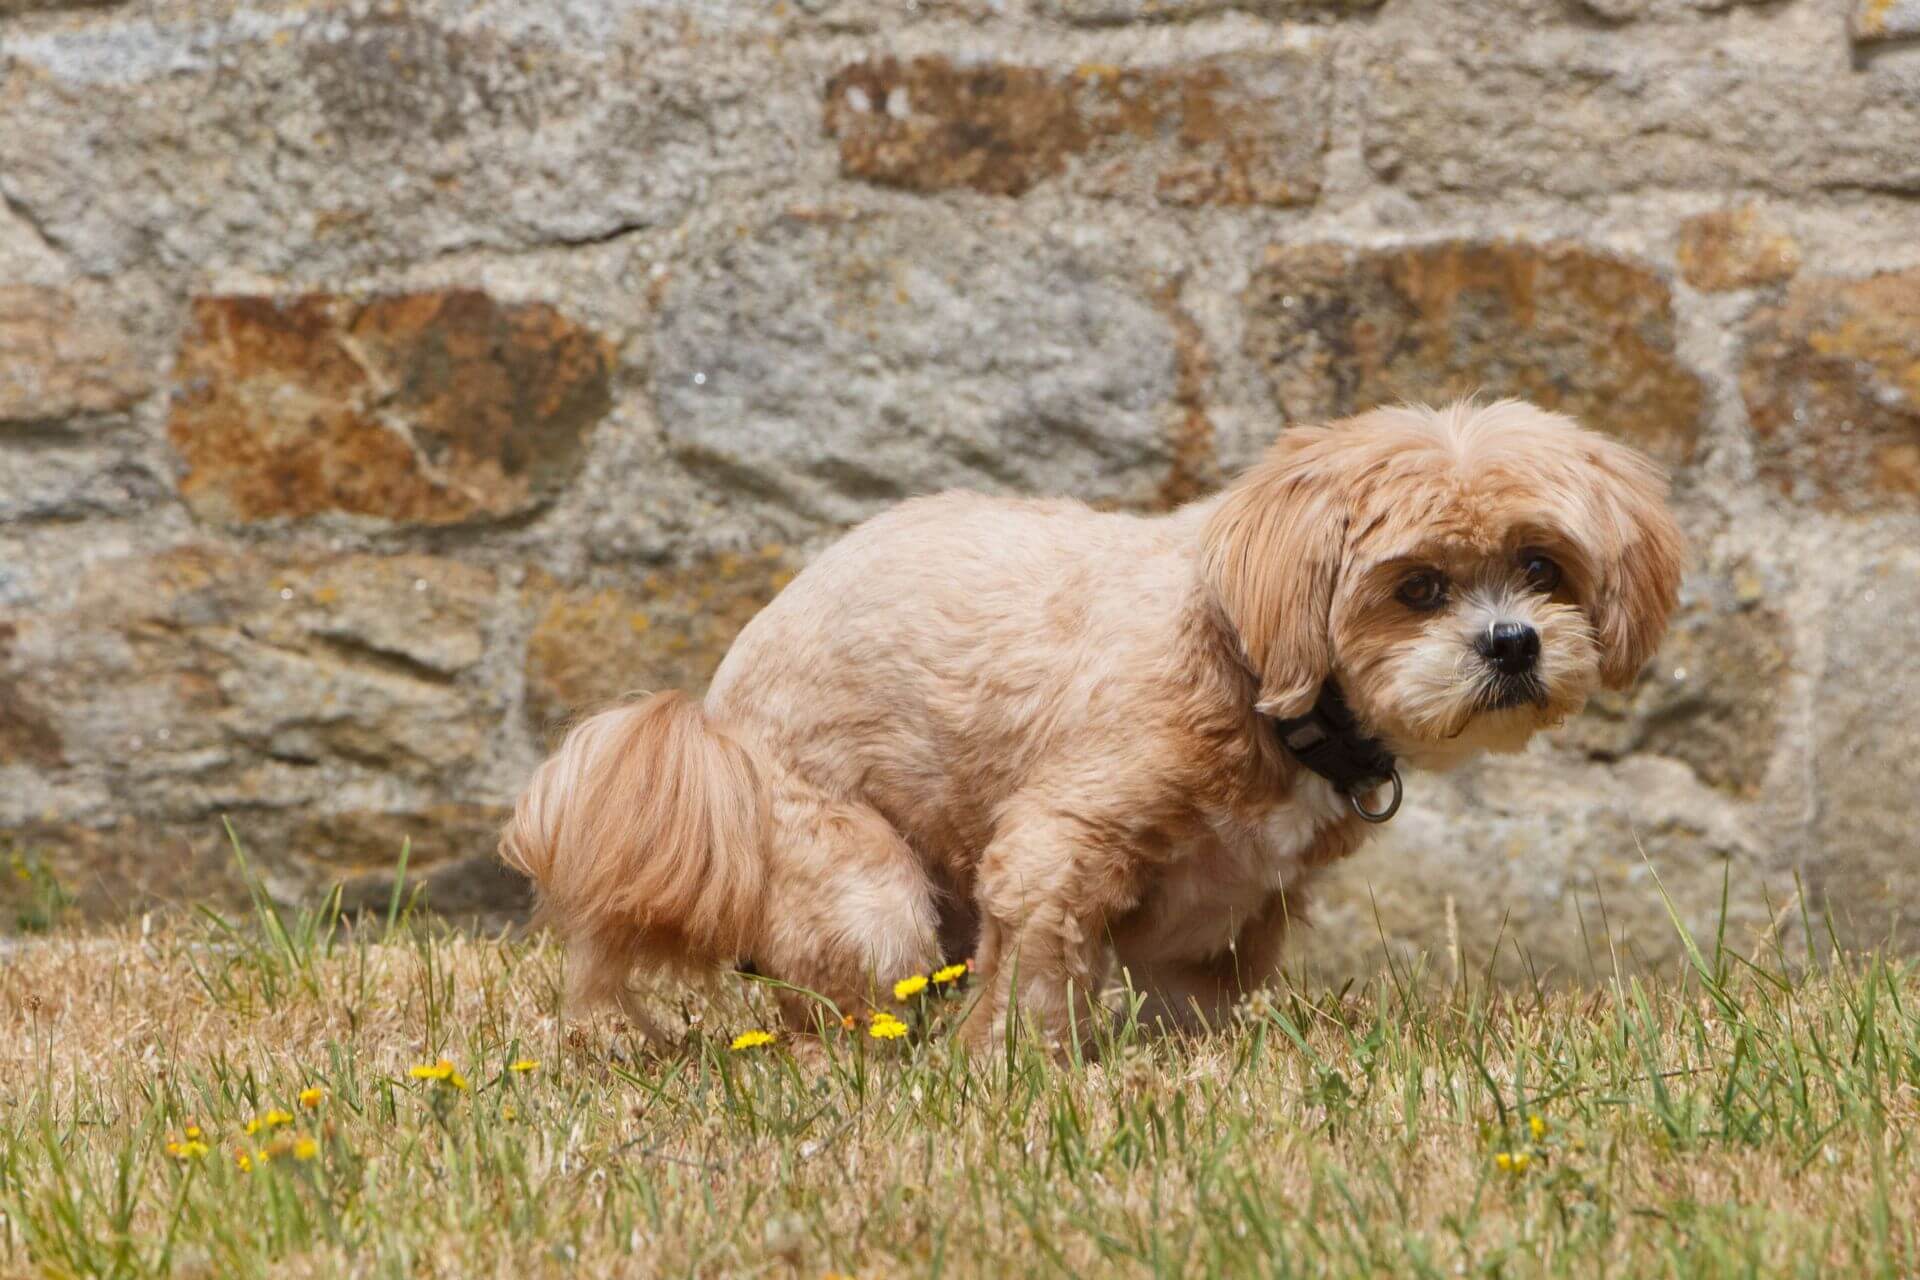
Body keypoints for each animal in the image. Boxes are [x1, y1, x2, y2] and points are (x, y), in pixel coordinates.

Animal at [506, 397, 1681, 1043]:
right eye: (1419, 587)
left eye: (1542, 567)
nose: (1512, 641)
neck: (1258, 673)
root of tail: (713, 715)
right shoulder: (1058, 846)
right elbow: (1034, 982)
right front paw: (1012, 1071)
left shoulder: (1225, 913)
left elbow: (1193, 1005)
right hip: (861, 886)